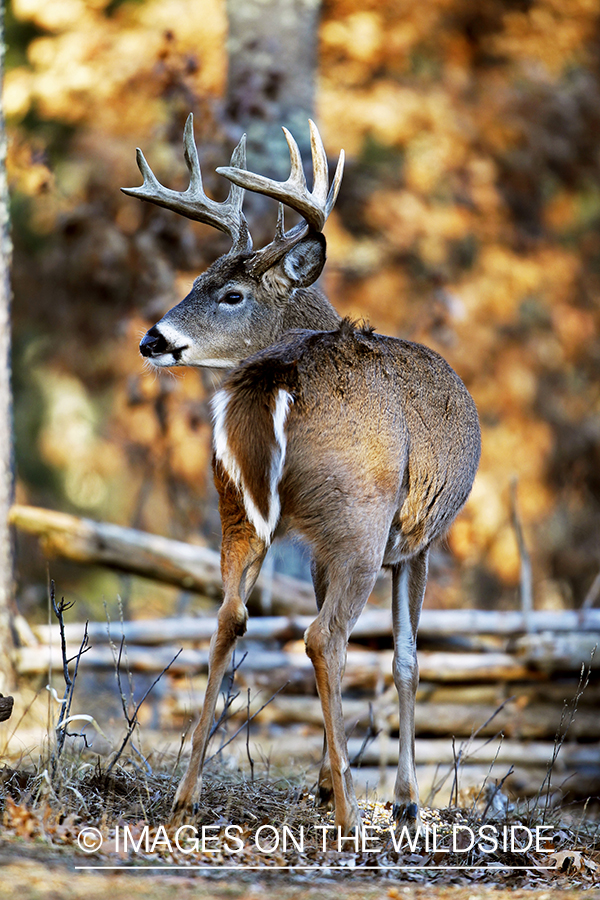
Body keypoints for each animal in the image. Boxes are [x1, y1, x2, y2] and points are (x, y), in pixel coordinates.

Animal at [123, 114, 482, 836]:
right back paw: (350, 815)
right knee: (326, 637)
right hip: (360, 515)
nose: (152, 340)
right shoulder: (419, 538)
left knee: (229, 618)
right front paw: (400, 799)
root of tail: (276, 377)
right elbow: (406, 659)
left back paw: (185, 797)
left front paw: (318, 778)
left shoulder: (314, 542)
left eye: (227, 291)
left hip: (237, 507)